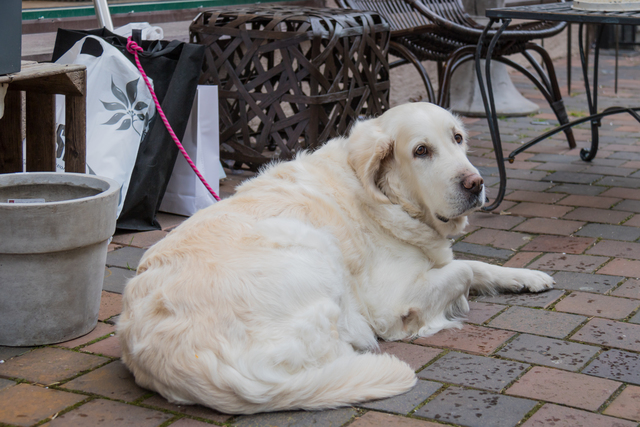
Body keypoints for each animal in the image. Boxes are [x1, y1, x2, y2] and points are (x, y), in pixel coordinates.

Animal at [117, 103, 552, 414]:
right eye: (421, 151)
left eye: (458, 138)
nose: (475, 183)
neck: (384, 196)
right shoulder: (390, 301)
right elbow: (459, 270)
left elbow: (475, 265)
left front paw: (526, 276)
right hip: (313, 243)